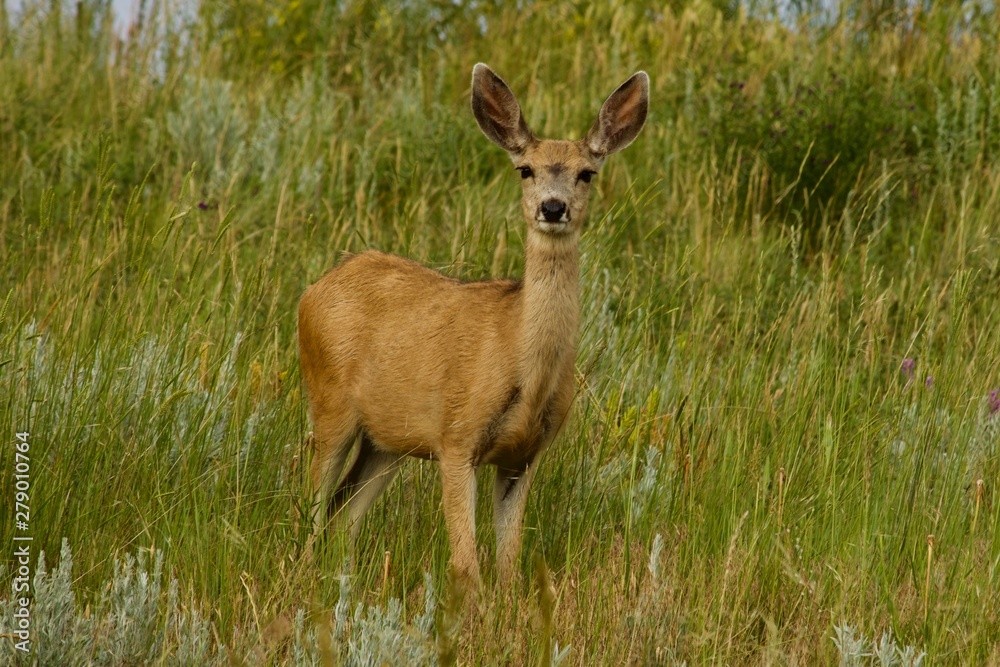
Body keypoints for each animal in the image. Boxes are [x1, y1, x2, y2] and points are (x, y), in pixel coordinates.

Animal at [296, 61, 648, 584]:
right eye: (525, 169)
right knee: (313, 505)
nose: (552, 207)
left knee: (343, 516)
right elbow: (466, 563)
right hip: (330, 403)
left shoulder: (526, 455)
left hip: (387, 441)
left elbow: (509, 561)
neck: (524, 364)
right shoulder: (456, 436)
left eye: (587, 173)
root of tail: (314, 289)